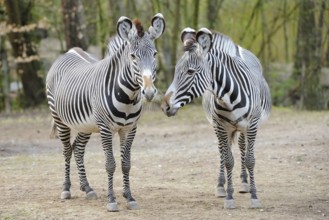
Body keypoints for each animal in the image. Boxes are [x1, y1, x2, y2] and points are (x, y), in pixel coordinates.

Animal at [46, 13, 164, 211]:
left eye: (154, 54)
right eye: (133, 56)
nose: (148, 92)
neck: (129, 97)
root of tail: (70, 51)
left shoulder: (130, 129)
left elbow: (126, 163)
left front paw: (129, 196)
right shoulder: (105, 129)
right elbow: (110, 164)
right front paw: (112, 200)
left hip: (85, 125)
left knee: (78, 149)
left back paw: (87, 188)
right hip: (60, 119)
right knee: (67, 150)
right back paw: (66, 189)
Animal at [160, 27, 270, 210]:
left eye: (190, 71)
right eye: (176, 71)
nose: (164, 106)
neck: (229, 98)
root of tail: (236, 49)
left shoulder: (253, 125)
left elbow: (250, 160)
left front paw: (254, 196)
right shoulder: (221, 126)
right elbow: (228, 160)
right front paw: (229, 196)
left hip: (243, 127)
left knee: (242, 147)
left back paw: (245, 182)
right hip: (219, 127)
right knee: (223, 152)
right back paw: (221, 186)